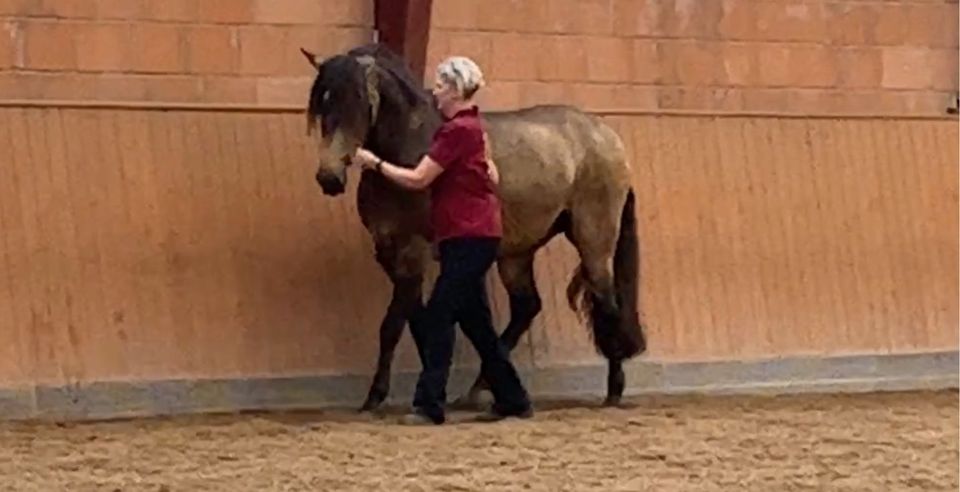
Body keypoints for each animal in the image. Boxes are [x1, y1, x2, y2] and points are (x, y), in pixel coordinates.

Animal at [298, 43, 644, 412]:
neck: (411, 150)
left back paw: (613, 392)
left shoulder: (414, 252)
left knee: (607, 302)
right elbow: (417, 320)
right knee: (527, 307)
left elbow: (393, 324)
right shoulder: (390, 252)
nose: (329, 178)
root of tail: (607, 136)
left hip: (594, 241)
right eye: (323, 105)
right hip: (516, 253)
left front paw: (376, 397)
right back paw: (480, 390)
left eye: (359, 102)